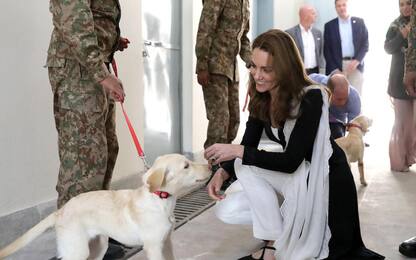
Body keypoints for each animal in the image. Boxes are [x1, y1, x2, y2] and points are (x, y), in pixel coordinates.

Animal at [0, 154, 210, 260]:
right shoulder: (153, 247)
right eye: (186, 166)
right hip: (77, 250)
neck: (160, 200)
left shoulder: (167, 243)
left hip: (98, 246)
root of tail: (61, 210)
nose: (210, 166)